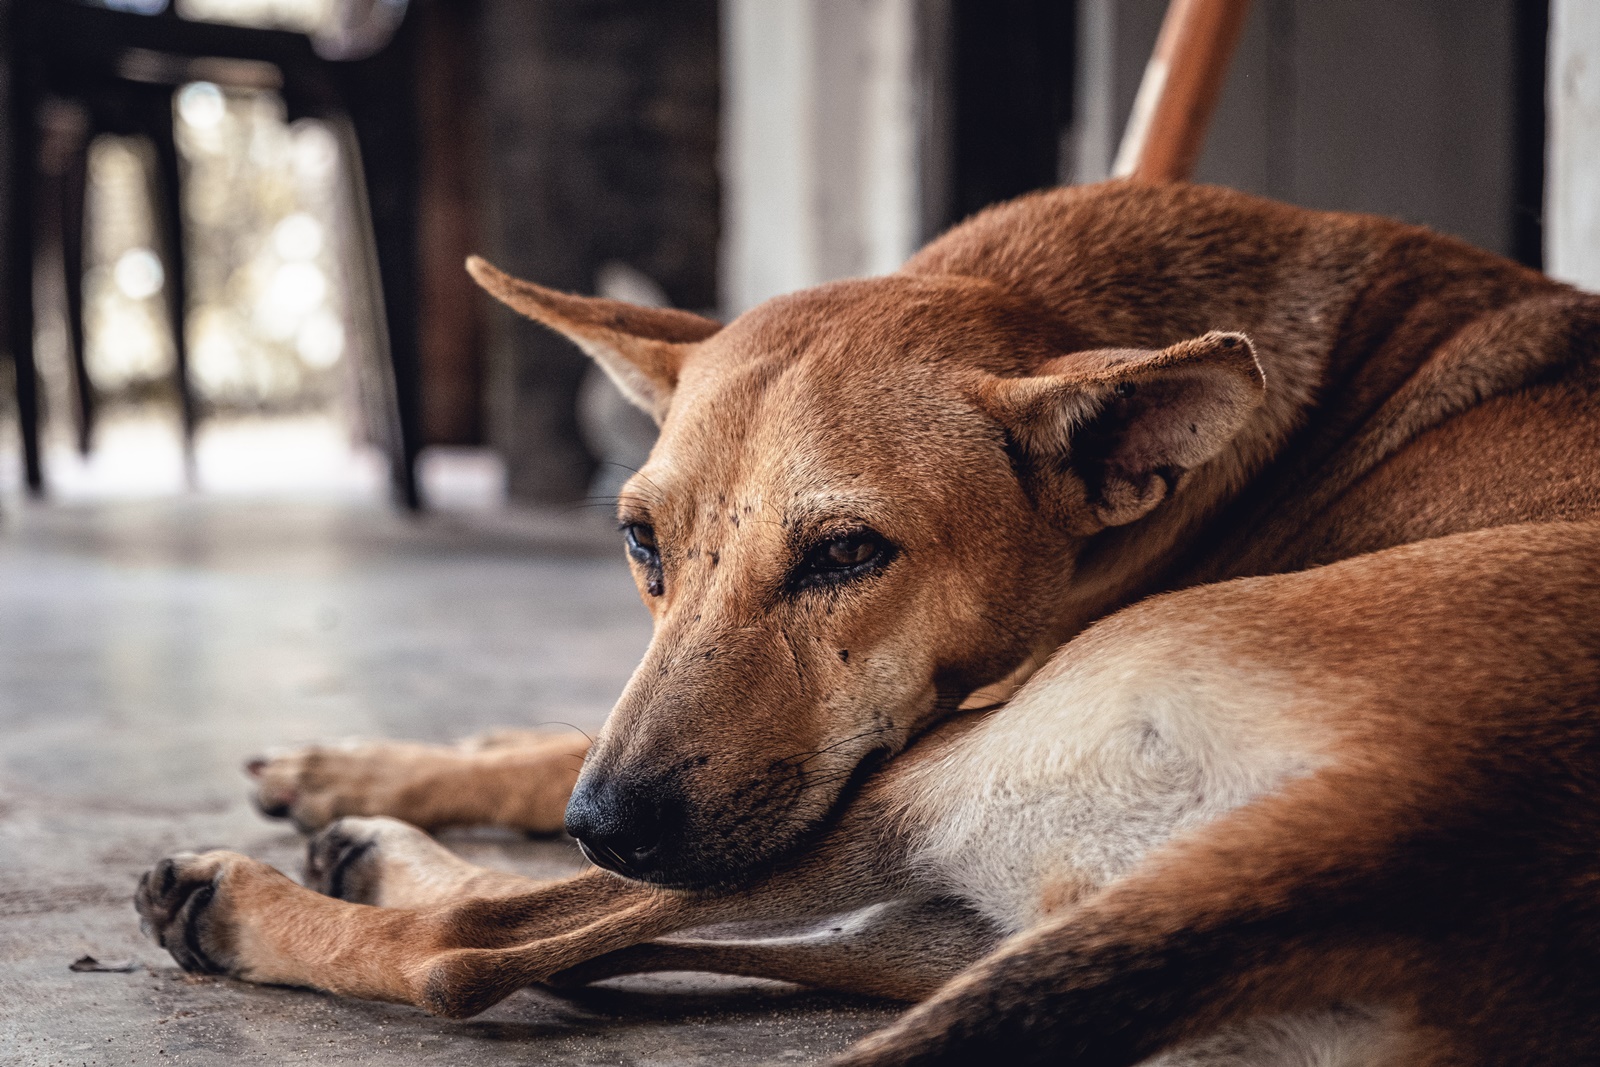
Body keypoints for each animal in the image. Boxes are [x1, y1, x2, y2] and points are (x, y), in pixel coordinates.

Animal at [134, 179, 1600, 1062]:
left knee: (477, 951)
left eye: (848, 552)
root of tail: (1391, 833)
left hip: (916, 779)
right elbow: (550, 746)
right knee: (599, 940)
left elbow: (539, 830)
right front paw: (373, 763)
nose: (608, 820)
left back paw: (261, 899)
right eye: (638, 541)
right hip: (954, 913)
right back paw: (377, 845)